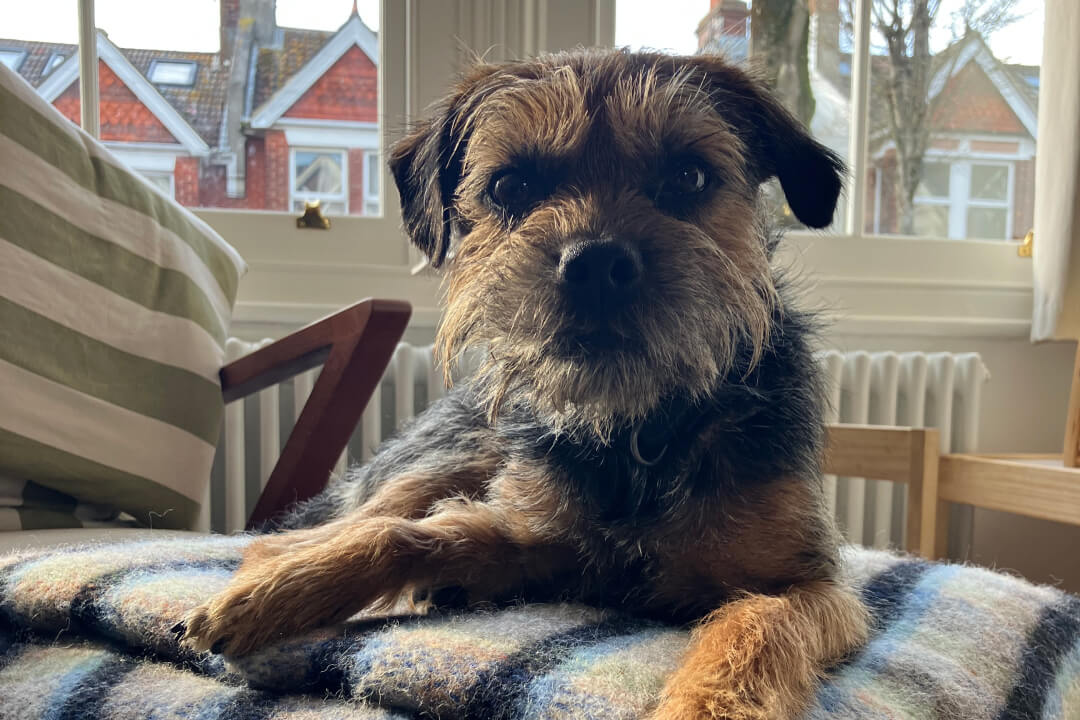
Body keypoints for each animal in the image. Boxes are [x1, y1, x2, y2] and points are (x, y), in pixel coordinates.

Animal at [183, 47, 868, 716]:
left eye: (689, 177)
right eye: (510, 185)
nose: (595, 262)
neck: (637, 434)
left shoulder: (812, 588)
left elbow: (755, 628)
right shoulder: (531, 536)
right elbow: (402, 535)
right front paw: (277, 593)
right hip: (454, 458)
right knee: (334, 523)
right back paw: (279, 569)